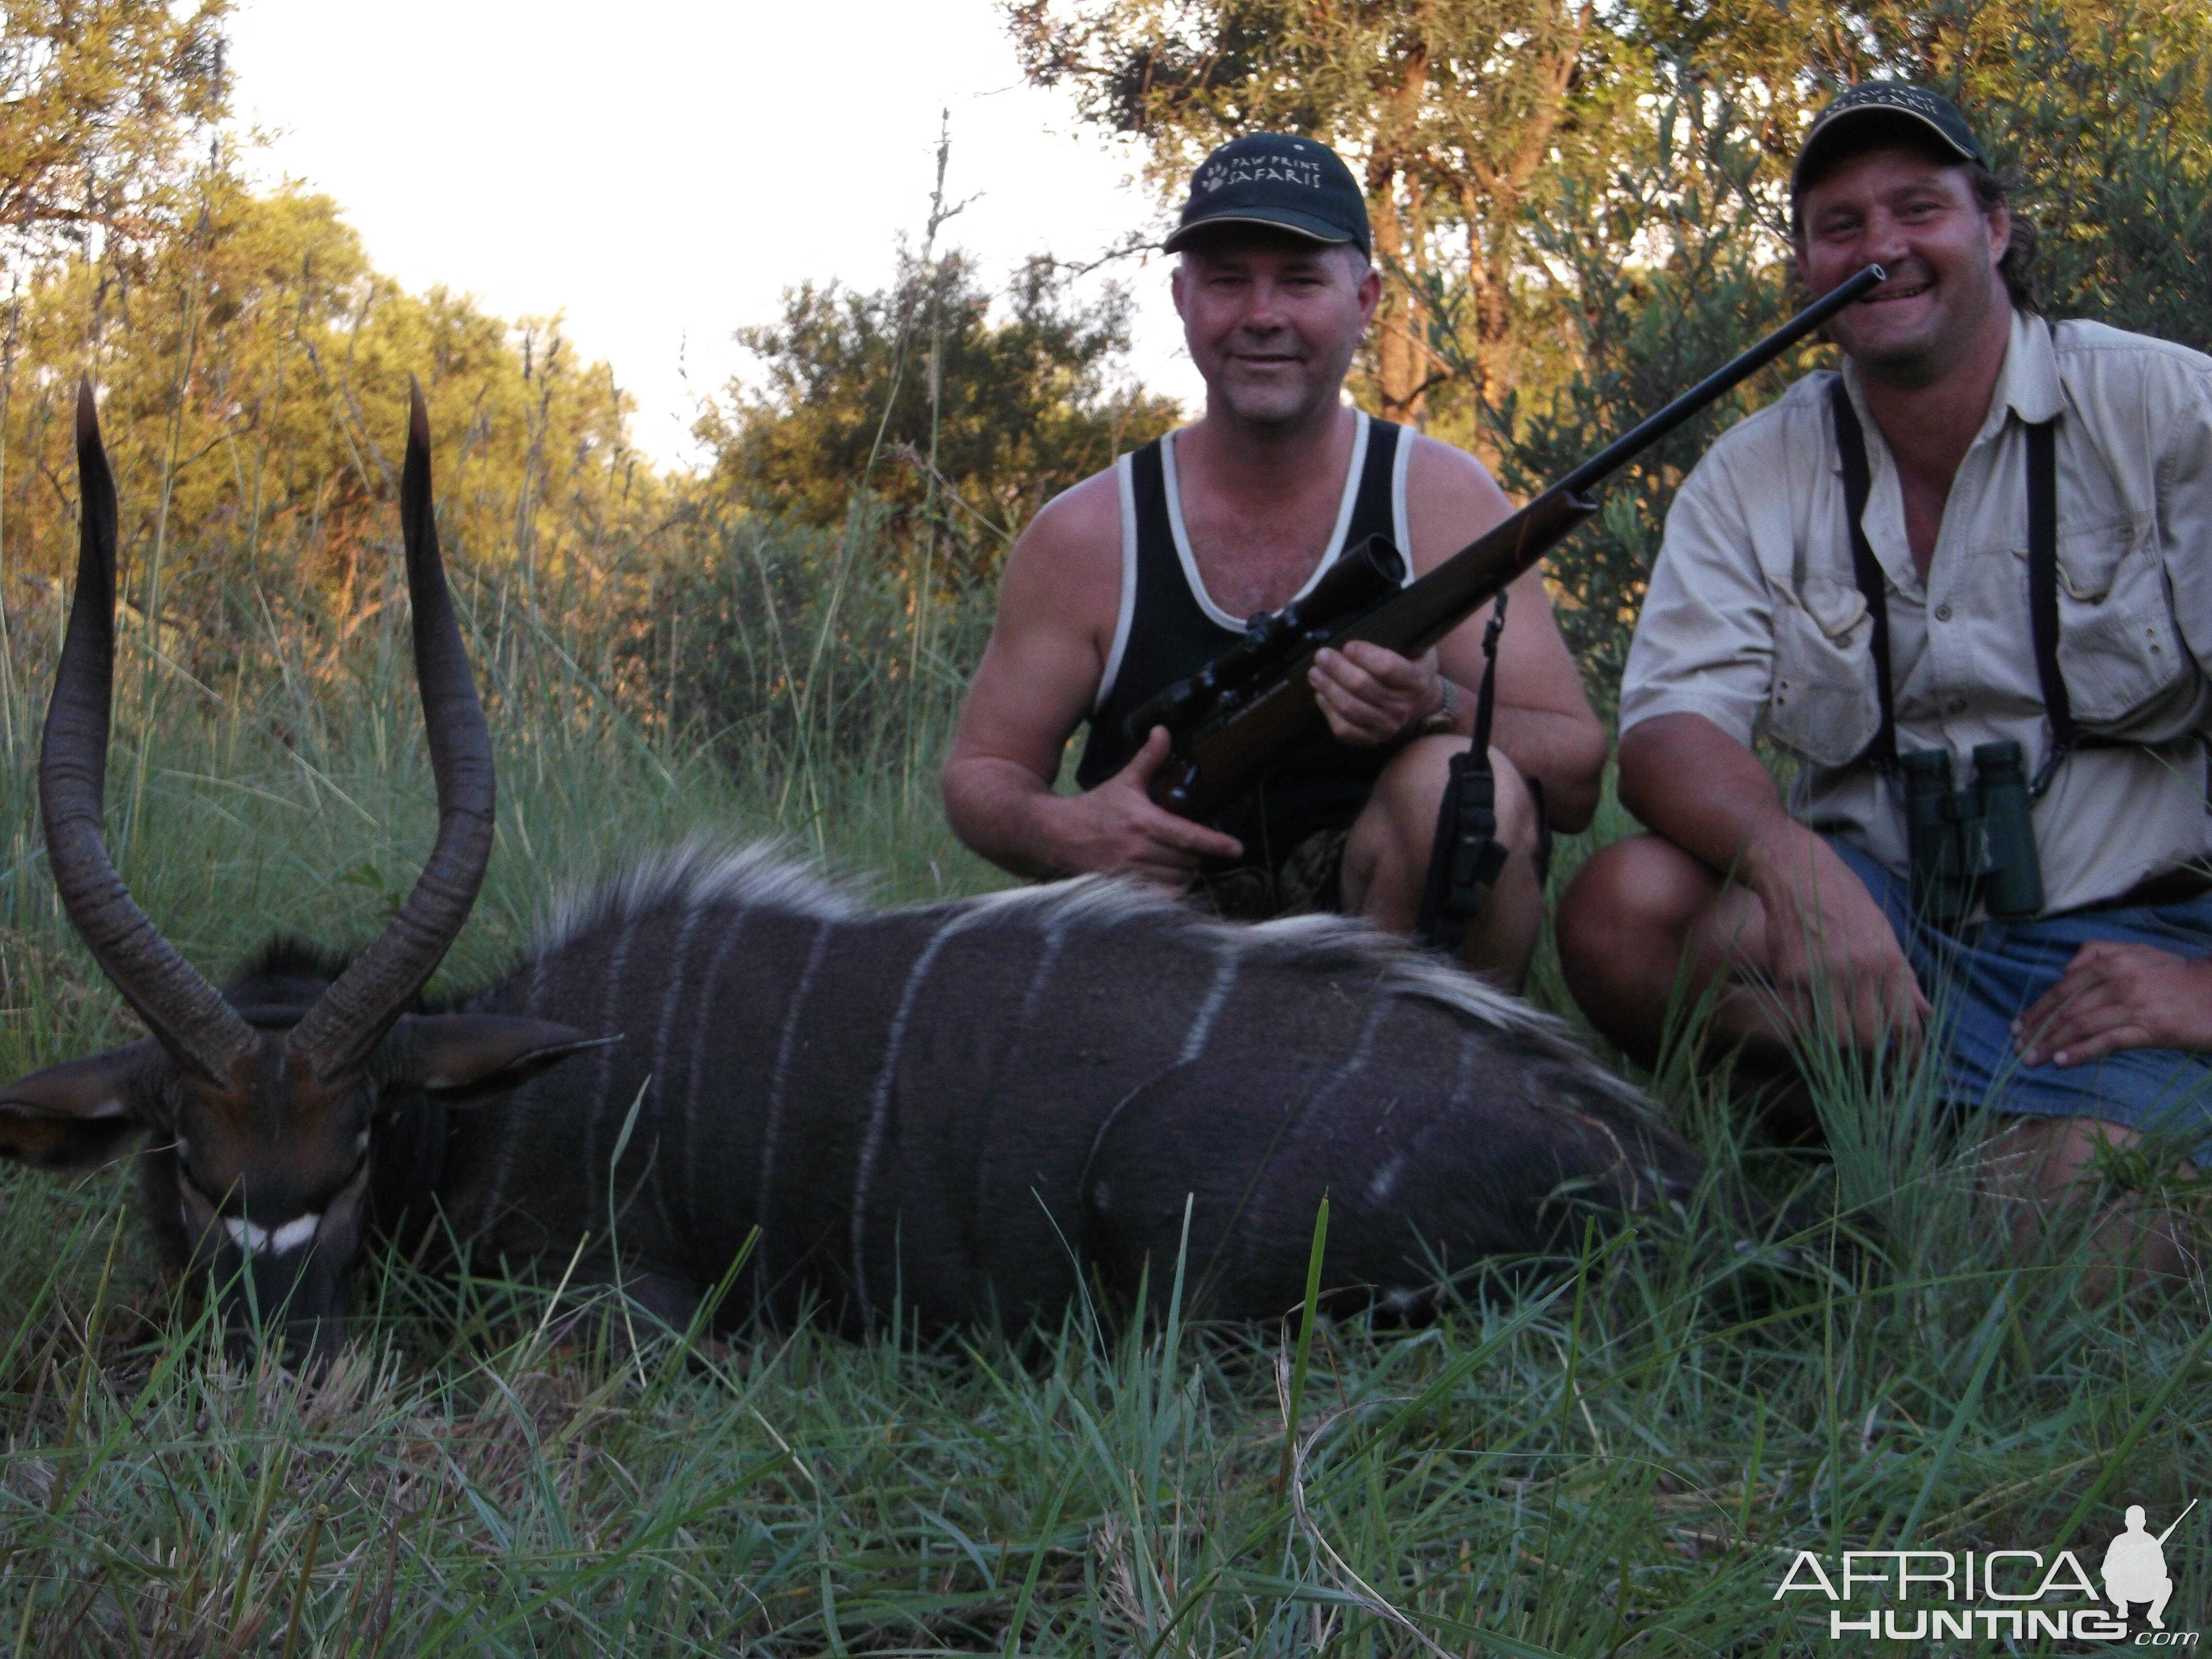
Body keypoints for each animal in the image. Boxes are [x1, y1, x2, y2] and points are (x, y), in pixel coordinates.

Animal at [0, 382, 1707, 1371]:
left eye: (358, 1139)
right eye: (180, 1152)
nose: (276, 1358)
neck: (493, 1102)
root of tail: (1643, 1160)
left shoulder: (622, 1310)